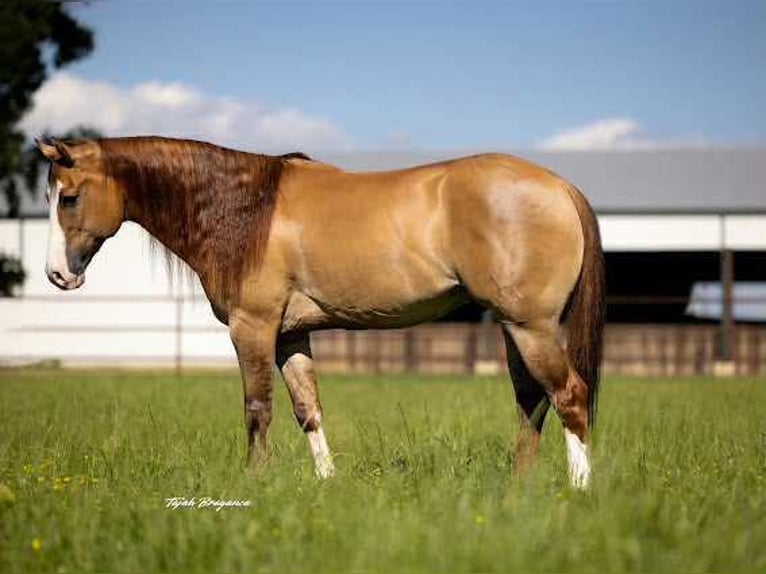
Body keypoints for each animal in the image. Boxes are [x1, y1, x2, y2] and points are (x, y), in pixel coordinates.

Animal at [37, 136, 604, 489]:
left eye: (68, 198)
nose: (57, 275)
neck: (244, 209)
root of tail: (559, 187)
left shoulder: (253, 328)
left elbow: (257, 408)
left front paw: (255, 482)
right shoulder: (291, 336)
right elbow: (307, 409)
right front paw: (326, 484)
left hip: (531, 328)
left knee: (569, 397)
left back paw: (579, 489)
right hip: (514, 330)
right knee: (532, 402)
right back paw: (517, 491)